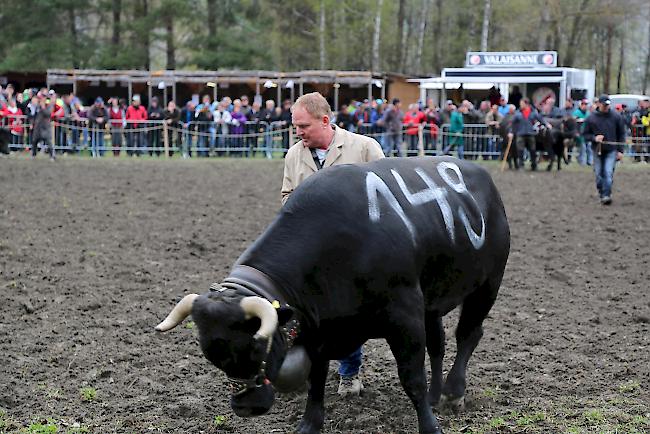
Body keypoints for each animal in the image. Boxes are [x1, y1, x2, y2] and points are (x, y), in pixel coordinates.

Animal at [154, 157, 508, 434]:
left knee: (468, 335)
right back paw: (437, 395)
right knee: (438, 344)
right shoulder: (320, 329)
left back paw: (453, 392)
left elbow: (412, 377)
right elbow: (316, 378)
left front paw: (430, 426)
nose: (245, 408)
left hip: (488, 283)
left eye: (257, 346)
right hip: (432, 302)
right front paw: (309, 424)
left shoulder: (405, 314)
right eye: (210, 354)